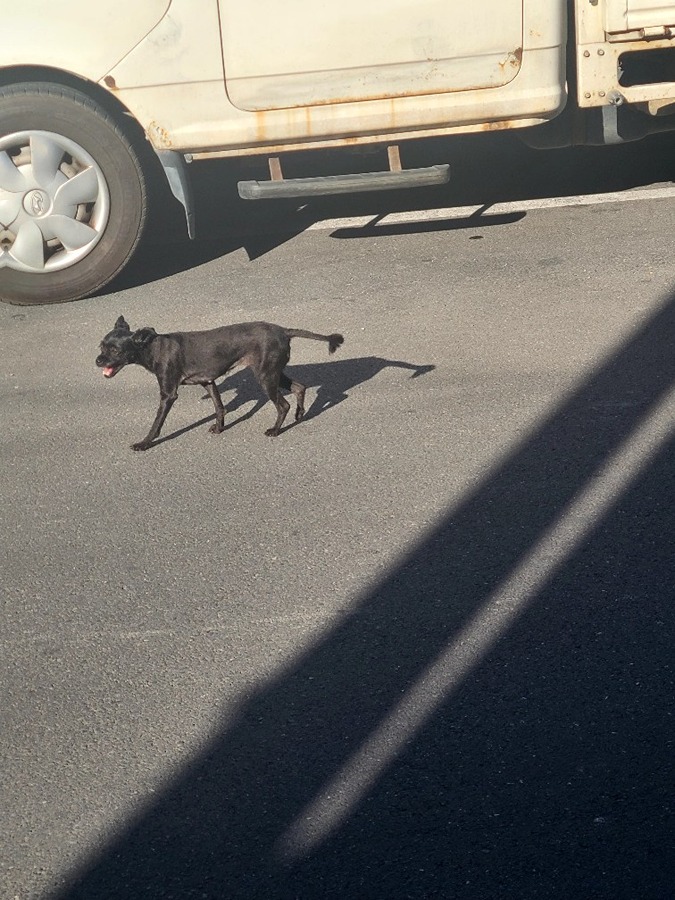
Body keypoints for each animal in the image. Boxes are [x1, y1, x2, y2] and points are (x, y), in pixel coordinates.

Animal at [97, 316, 346, 450]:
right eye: (101, 346)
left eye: (115, 350)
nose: (97, 360)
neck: (153, 347)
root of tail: (284, 331)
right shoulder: (208, 381)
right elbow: (219, 407)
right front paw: (219, 427)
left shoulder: (168, 394)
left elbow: (157, 423)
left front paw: (144, 443)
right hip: (273, 372)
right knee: (299, 387)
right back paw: (299, 414)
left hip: (265, 377)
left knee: (283, 404)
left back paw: (276, 430)